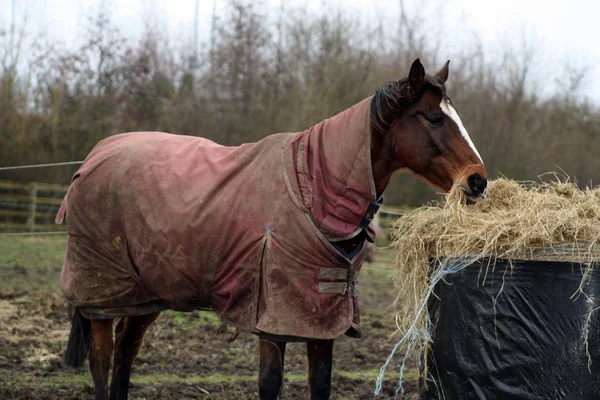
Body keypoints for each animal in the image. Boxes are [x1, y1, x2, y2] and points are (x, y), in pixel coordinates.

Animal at [57, 57, 488, 398]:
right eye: (434, 118)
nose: (478, 182)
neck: (312, 189)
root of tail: (95, 156)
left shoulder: (322, 321)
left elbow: (320, 383)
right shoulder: (273, 321)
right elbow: (269, 384)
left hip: (147, 294)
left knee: (125, 356)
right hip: (102, 299)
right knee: (102, 362)